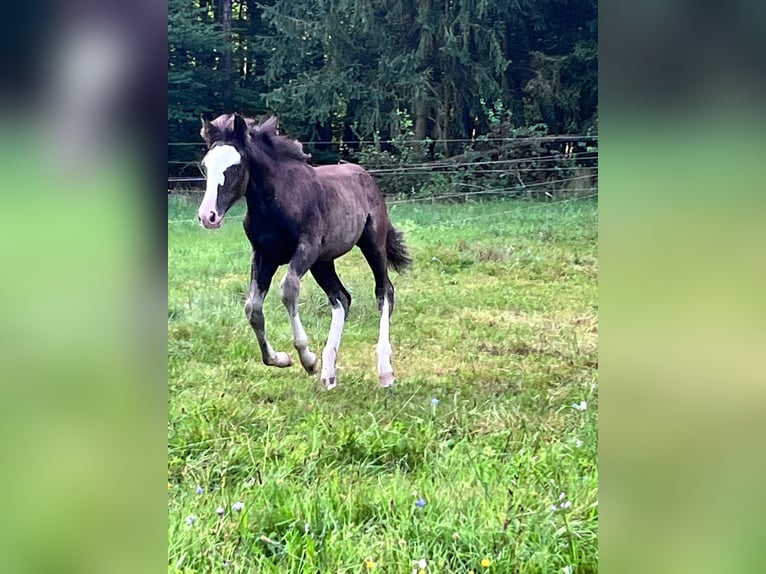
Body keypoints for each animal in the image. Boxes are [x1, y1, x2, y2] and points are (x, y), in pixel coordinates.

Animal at [200, 112, 414, 392]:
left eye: (235, 166)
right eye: (204, 166)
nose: (208, 216)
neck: (276, 201)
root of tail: (366, 176)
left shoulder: (306, 247)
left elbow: (288, 290)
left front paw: (307, 359)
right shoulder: (264, 256)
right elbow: (252, 308)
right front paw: (280, 358)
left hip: (371, 245)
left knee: (384, 291)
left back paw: (384, 372)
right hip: (323, 262)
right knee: (342, 298)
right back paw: (329, 374)